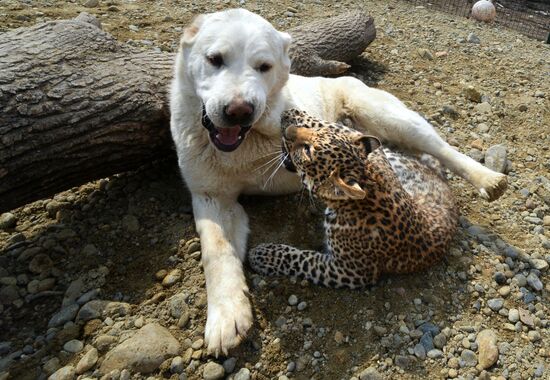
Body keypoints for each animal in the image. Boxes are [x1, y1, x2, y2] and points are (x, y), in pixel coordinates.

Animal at [169, 7, 508, 354]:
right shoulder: (211, 197)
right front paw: (226, 316)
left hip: (391, 118)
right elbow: (216, 251)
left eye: (264, 67)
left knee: (442, 148)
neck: (245, 144)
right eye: (214, 59)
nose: (239, 111)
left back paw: (489, 179)